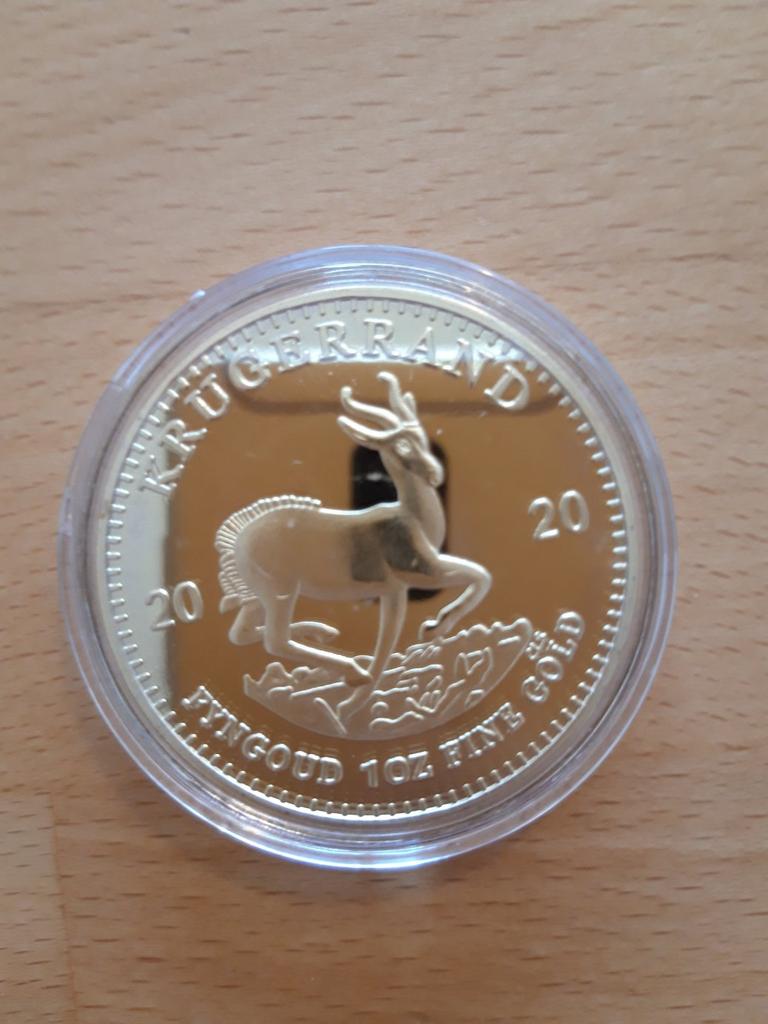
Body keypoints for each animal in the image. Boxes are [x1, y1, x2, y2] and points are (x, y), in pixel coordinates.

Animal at [215, 372, 491, 686]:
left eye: (422, 438)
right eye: (402, 445)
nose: (436, 473)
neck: (413, 518)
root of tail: (237, 541)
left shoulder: (395, 589)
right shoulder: (418, 575)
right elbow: (480, 576)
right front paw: (433, 628)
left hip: (257, 598)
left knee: (241, 634)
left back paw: (321, 632)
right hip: (279, 591)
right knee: (275, 641)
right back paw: (352, 668)